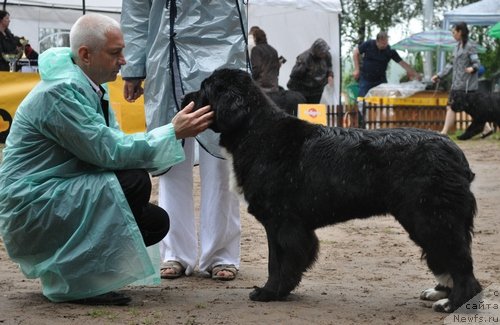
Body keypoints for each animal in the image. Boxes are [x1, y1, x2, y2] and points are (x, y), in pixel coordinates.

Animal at [186, 67, 482, 312]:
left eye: (204, 88)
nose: (184, 97)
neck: (254, 131)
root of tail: (456, 153)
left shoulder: (281, 221)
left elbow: (278, 261)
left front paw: (269, 292)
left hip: (431, 217)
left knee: (460, 263)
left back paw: (452, 303)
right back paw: (441, 293)